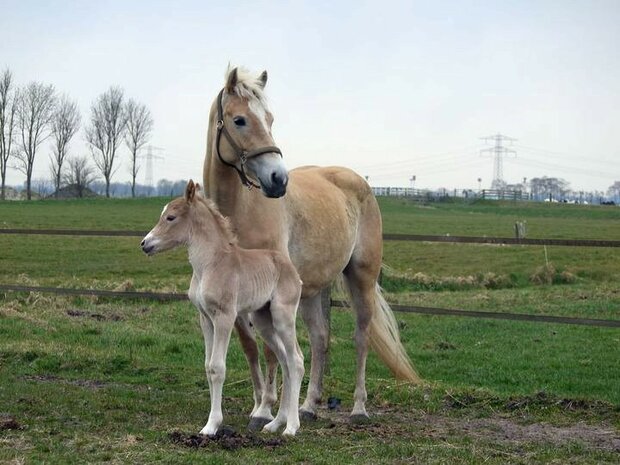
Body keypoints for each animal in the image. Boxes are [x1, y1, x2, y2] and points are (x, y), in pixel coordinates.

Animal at [141, 180, 306, 436]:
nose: (145, 244)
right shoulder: (205, 319)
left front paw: (211, 426)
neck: (210, 264)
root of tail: (292, 271)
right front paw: (211, 421)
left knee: (296, 360)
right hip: (263, 319)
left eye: (170, 217)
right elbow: (208, 367)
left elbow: (217, 367)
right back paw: (274, 423)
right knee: (285, 361)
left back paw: (291, 427)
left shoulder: (225, 317)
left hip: (283, 315)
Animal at [203, 66, 422, 424]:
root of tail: (358, 182)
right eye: (239, 120)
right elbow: (251, 347)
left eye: (270, 119)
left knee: (361, 337)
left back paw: (358, 408)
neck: (239, 212)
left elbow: (270, 349)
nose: (278, 179)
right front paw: (259, 404)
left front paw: (266, 409)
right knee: (321, 339)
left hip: (361, 278)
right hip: (312, 289)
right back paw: (307, 405)